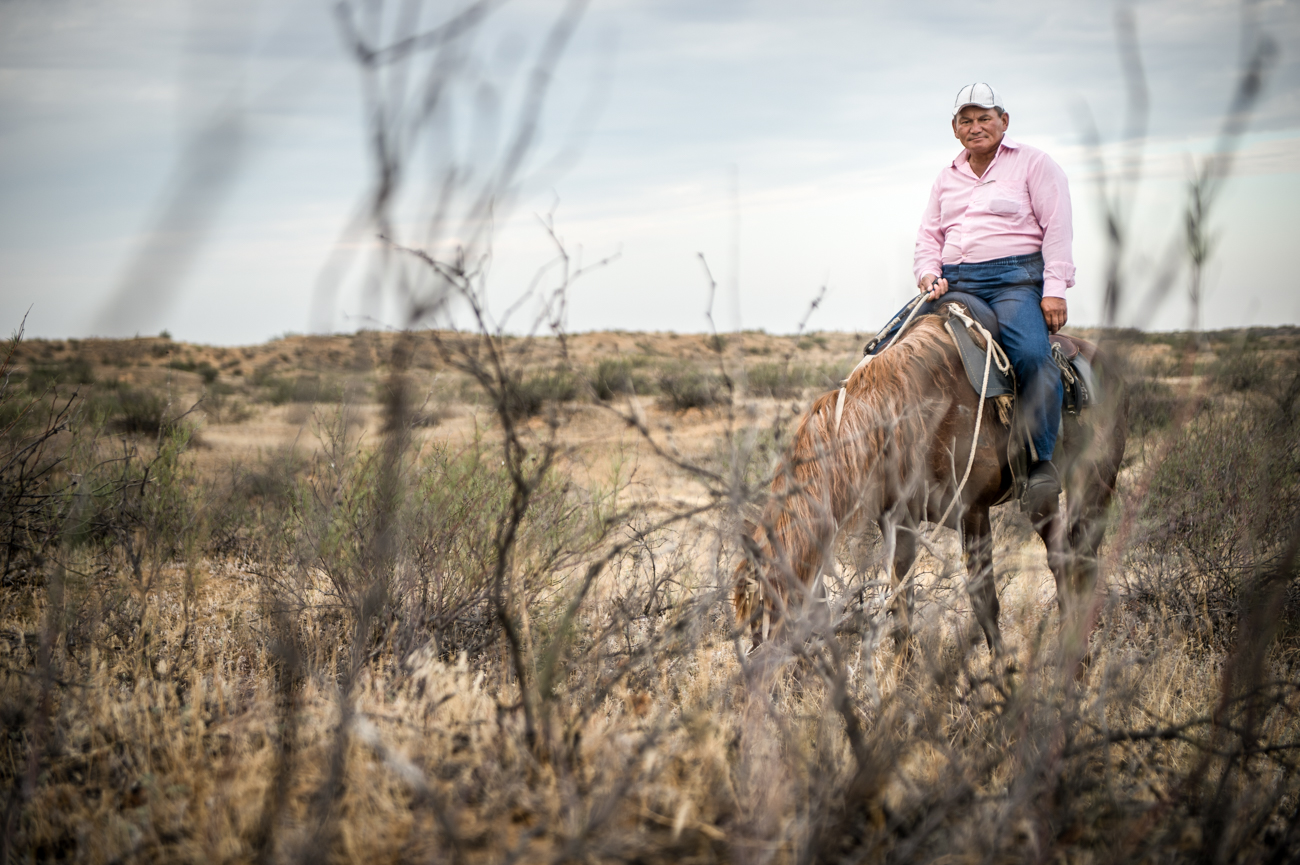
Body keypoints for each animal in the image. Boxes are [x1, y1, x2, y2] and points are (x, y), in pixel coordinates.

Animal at [733, 306, 1128, 650]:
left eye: (766, 607)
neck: (910, 413)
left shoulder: (974, 513)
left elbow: (985, 603)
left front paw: (1003, 678)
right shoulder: (900, 522)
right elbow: (901, 606)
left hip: (1093, 486)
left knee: (1081, 563)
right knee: (1065, 561)